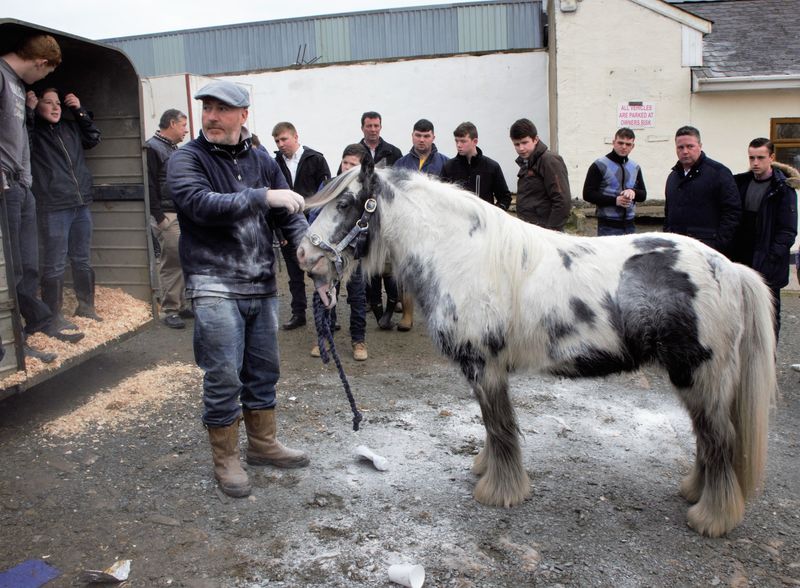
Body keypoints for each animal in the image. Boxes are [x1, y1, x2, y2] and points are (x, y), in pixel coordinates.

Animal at [296, 160, 777, 538]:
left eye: (344, 204)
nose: (303, 255)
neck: (461, 254)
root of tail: (729, 268)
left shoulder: (484, 366)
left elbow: (500, 427)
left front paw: (500, 492)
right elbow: (493, 428)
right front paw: (487, 470)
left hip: (699, 373)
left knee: (719, 440)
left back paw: (712, 517)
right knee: (708, 438)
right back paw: (696, 493)